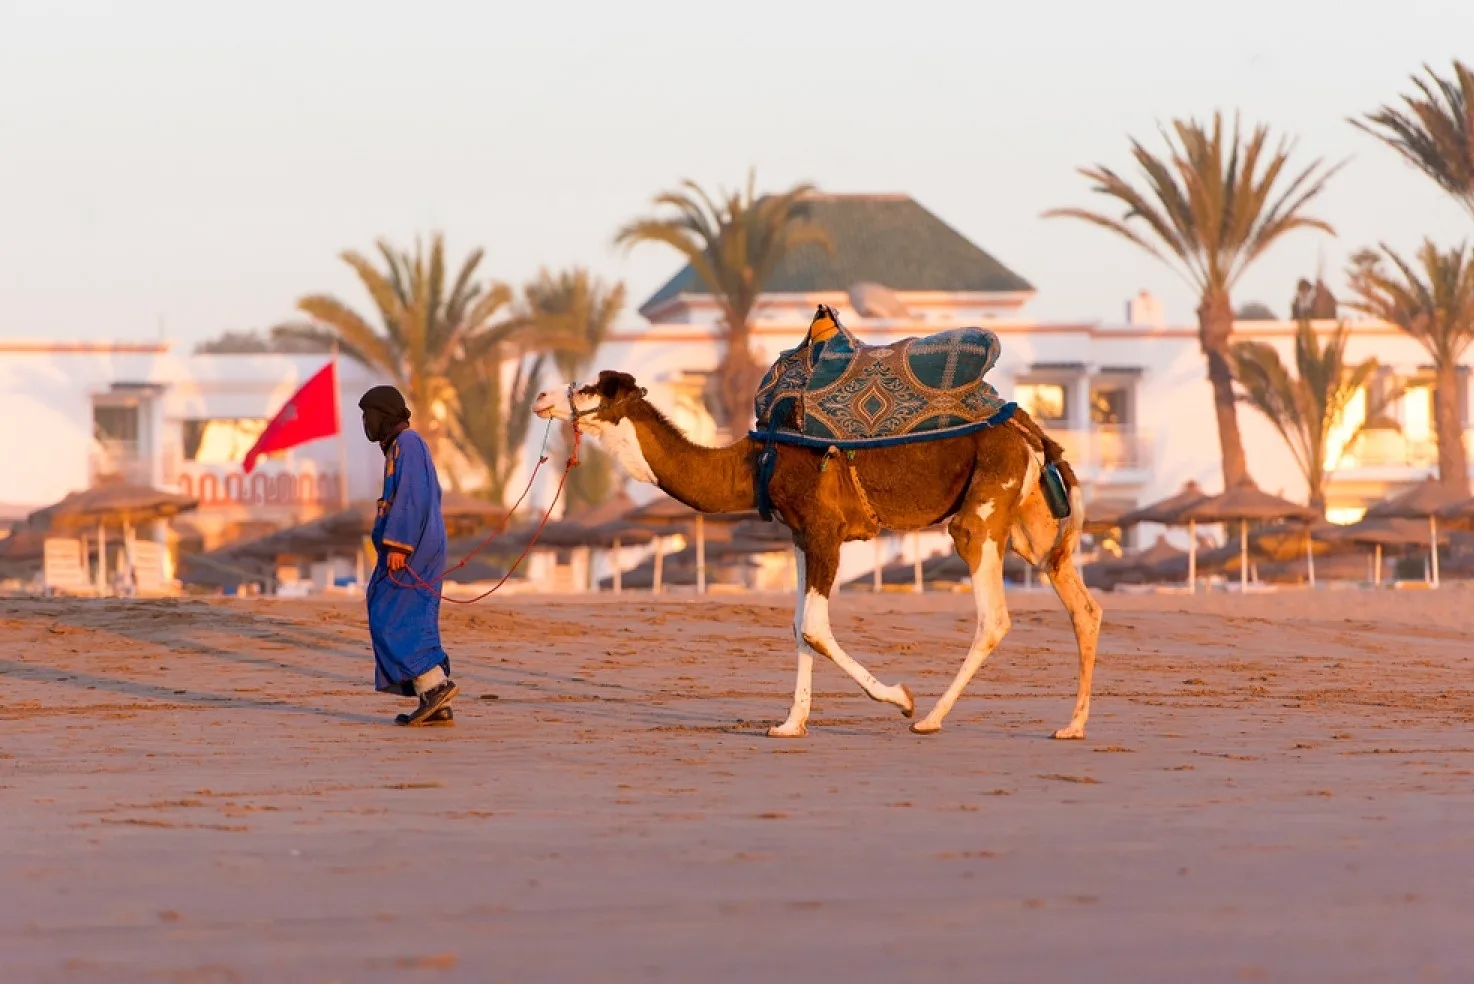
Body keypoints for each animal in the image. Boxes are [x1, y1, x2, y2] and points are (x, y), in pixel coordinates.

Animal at [536, 338, 1102, 736]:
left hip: (982, 510)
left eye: (590, 389)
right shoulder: (801, 535)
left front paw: (901, 698)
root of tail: (1029, 429)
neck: (757, 460)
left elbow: (814, 628)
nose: (542, 396)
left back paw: (930, 718)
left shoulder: (825, 530)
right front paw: (790, 724)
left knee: (993, 615)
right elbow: (797, 627)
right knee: (1081, 602)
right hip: (1029, 521)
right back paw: (1072, 727)